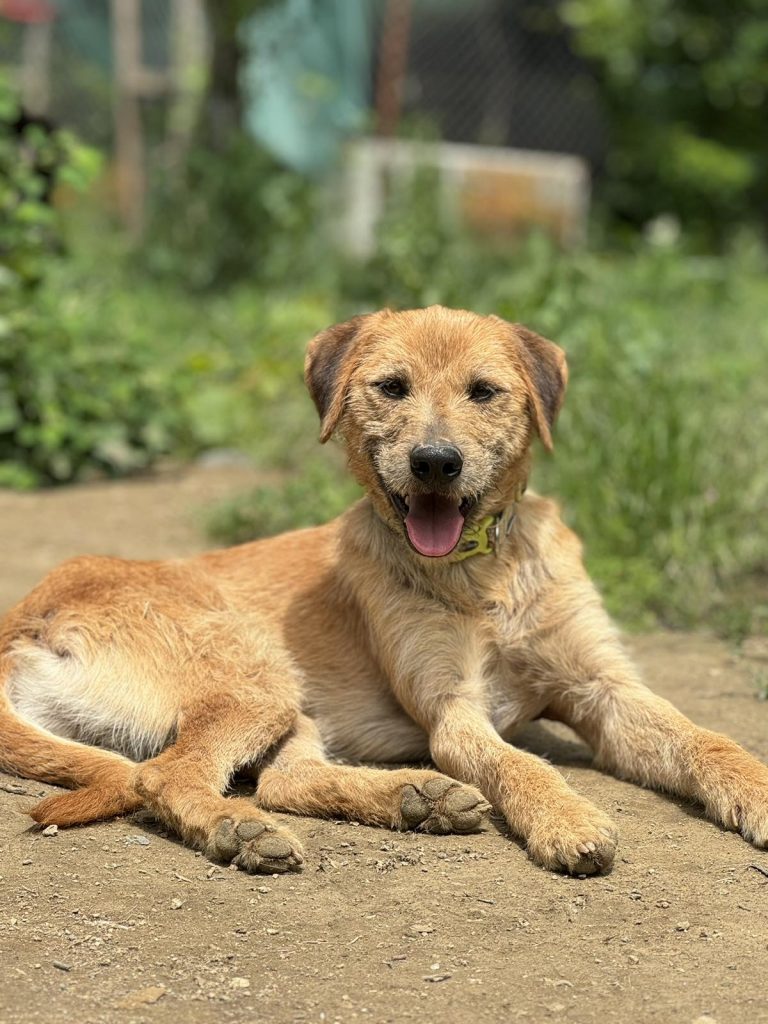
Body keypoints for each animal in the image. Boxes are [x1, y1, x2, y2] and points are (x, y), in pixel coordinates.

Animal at [1, 303, 768, 872]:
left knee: (283, 780)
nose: (435, 462)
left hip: (290, 705)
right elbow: (520, 763)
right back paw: (238, 829)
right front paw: (565, 817)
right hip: (257, 677)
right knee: (167, 775)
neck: (482, 577)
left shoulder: (607, 687)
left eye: (484, 392)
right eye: (391, 387)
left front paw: (757, 791)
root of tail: (27, 616)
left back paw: (416, 799)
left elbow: (708, 741)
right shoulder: (454, 711)